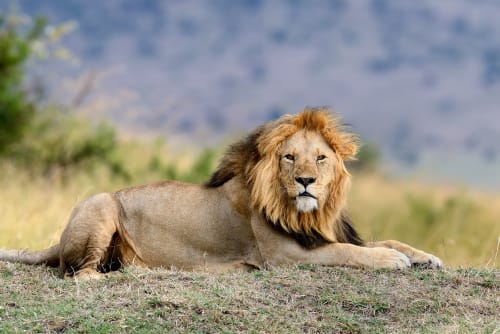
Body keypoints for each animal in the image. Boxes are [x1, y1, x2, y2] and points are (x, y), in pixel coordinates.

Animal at [0, 107, 442, 280]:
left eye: (320, 158)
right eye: (289, 157)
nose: (305, 181)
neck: (309, 213)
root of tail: (59, 239)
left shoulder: (322, 234)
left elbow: (386, 240)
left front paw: (425, 256)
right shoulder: (285, 255)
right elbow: (350, 252)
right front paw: (392, 261)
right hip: (101, 201)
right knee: (78, 272)